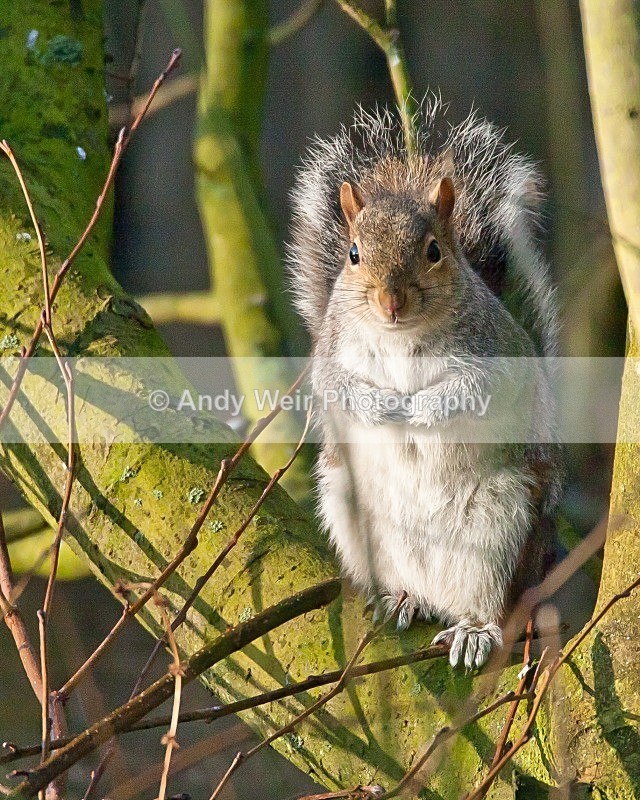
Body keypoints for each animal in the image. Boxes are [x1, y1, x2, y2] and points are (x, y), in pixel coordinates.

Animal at [286, 100, 562, 669]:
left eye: (434, 251)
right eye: (353, 254)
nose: (390, 301)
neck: (400, 339)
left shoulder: (495, 359)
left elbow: (472, 389)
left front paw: (420, 409)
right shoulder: (331, 356)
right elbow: (338, 387)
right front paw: (378, 405)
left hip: (502, 528)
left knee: (489, 600)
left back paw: (474, 630)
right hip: (353, 513)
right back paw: (400, 597)